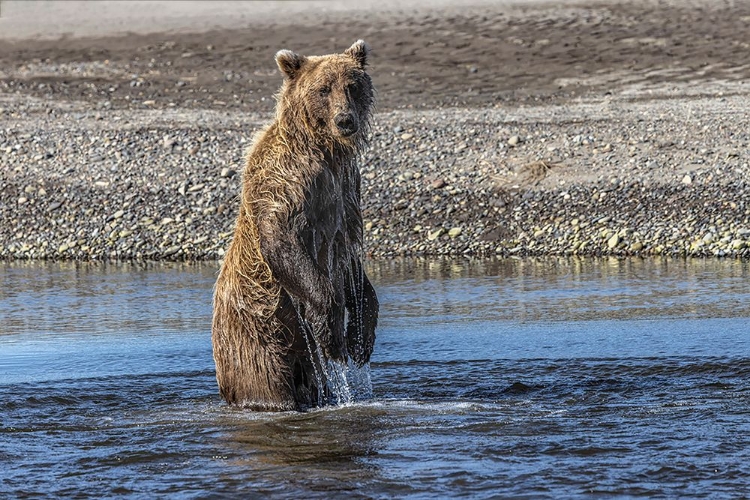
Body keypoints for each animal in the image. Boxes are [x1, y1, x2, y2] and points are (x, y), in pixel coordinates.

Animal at [212, 40, 378, 410]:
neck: (324, 149)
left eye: (352, 85)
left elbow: (350, 261)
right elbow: (281, 239)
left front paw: (360, 337)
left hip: (301, 357)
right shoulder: (286, 181)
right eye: (323, 89)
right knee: (265, 382)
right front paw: (332, 333)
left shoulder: (345, 192)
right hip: (258, 335)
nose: (345, 120)